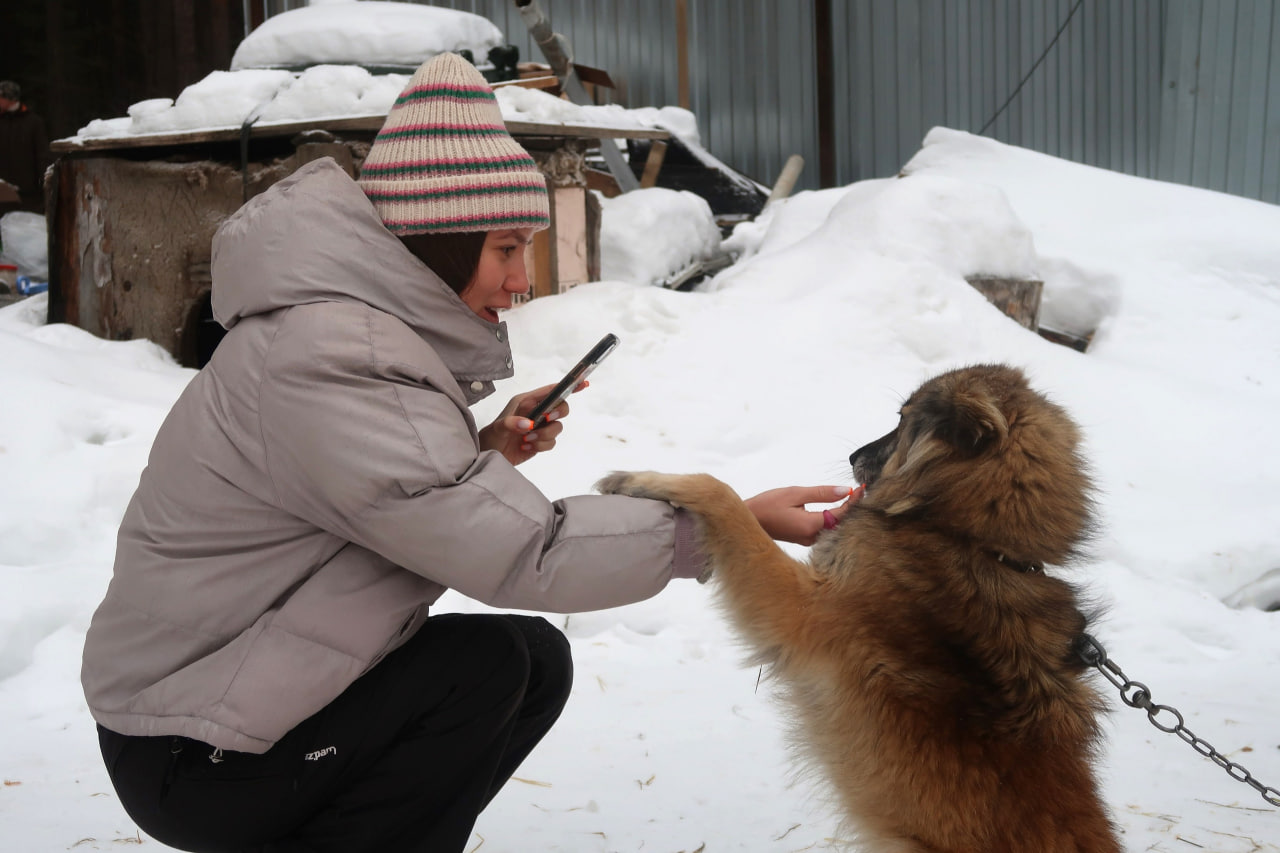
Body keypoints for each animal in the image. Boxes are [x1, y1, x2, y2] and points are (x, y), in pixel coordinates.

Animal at [599, 361, 1121, 845]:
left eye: (903, 422)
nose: (853, 457)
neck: (966, 539)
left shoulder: (802, 609)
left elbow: (721, 493)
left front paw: (641, 479)